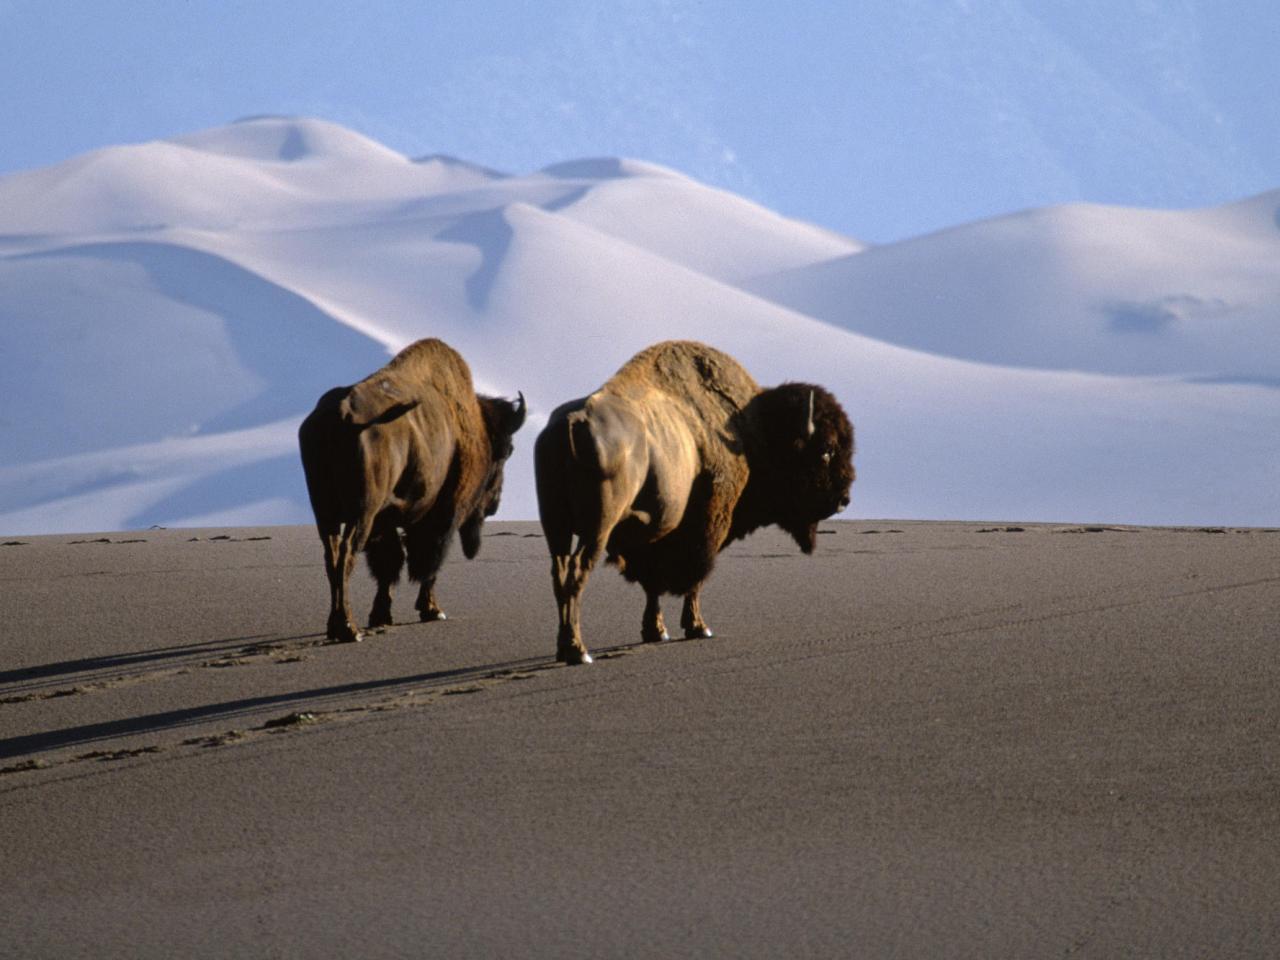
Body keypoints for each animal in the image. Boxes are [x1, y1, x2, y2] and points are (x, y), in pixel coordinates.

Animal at [299, 337, 524, 647]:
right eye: (506, 452)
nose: (494, 505)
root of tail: (344, 415)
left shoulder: (385, 521)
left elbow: (390, 564)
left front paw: (381, 615)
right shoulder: (442, 515)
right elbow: (427, 562)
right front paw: (432, 610)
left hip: (326, 513)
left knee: (332, 557)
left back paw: (337, 626)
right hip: (361, 513)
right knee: (347, 555)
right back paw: (349, 629)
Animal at [535, 343, 855, 665]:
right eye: (826, 450)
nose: (844, 499)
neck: (751, 430)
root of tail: (573, 421)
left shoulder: (655, 534)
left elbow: (653, 583)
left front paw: (656, 631)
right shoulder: (708, 526)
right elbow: (695, 578)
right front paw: (699, 628)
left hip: (555, 526)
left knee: (559, 572)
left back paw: (565, 647)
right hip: (598, 526)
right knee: (578, 570)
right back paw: (579, 651)